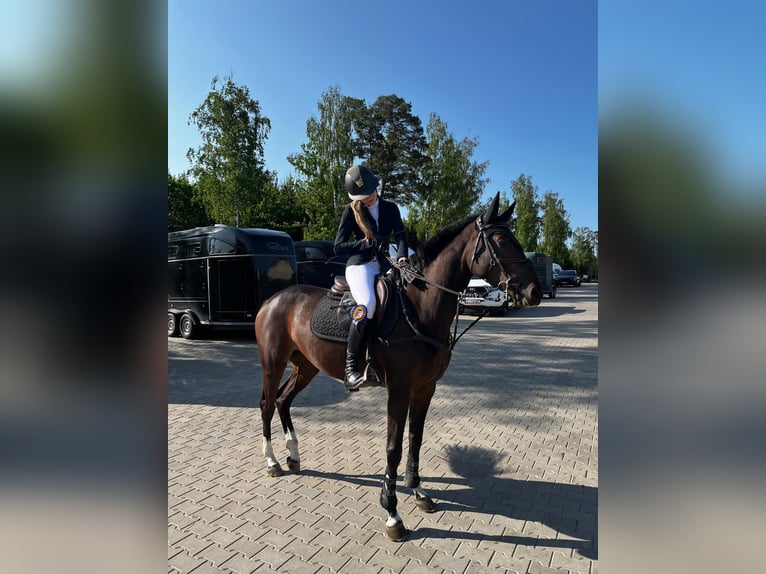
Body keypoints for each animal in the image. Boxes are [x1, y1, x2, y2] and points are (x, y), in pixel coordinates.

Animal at [254, 192, 542, 541]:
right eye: (500, 240)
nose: (535, 292)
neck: (419, 309)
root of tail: (273, 299)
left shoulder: (425, 388)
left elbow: (415, 439)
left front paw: (418, 492)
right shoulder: (400, 389)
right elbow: (393, 446)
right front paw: (392, 513)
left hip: (306, 366)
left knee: (283, 401)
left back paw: (293, 456)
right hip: (272, 362)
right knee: (267, 403)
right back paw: (272, 462)